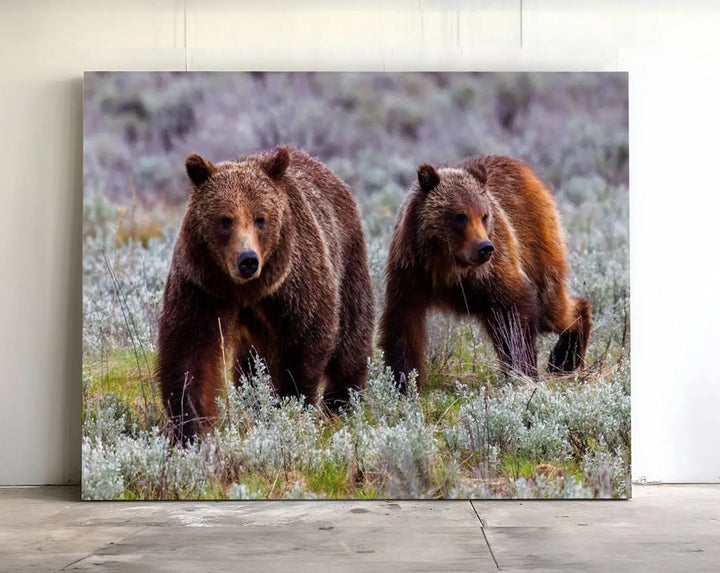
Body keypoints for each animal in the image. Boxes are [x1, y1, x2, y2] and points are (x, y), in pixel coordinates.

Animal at [156, 145, 372, 440]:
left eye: (261, 219)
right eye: (225, 220)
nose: (247, 260)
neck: (247, 291)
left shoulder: (294, 287)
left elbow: (304, 343)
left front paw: (291, 405)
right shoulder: (202, 288)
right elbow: (190, 354)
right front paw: (191, 426)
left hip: (347, 260)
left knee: (351, 335)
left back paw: (340, 401)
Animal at [376, 156, 592, 388]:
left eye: (484, 215)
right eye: (460, 216)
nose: (485, 247)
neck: (448, 265)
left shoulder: (494, 271)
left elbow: (515, 314)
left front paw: (522, 371)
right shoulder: (411, 271)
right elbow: (403, 324)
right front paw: (402, 381)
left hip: (536, 243)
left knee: (551, 306)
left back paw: (564, 358)